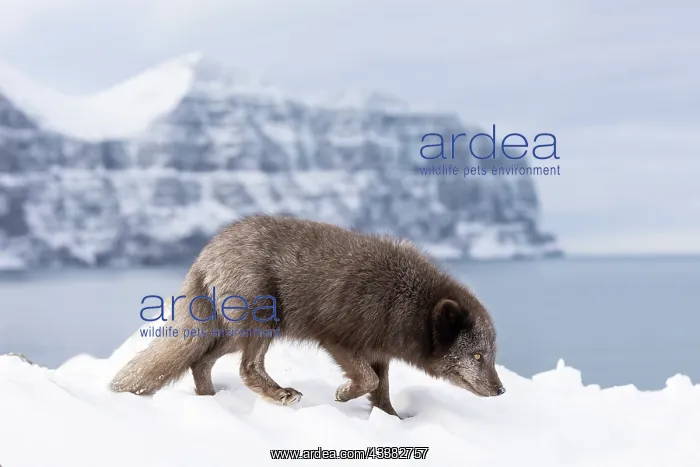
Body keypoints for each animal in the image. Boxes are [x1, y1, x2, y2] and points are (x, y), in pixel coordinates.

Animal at [109, 214, 505, 417]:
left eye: (491, 355)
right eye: (476, 356)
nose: (501, 390)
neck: (404, 299)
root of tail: (206, 253)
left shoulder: (379, 352)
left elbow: (382, 391)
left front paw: (391, 419)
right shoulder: (338, 340)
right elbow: (368, 381)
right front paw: (344, 395)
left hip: (234, 333)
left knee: (200, 361)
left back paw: (210, 402)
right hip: (263, 322)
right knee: (245, 368)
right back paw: (279, 395)